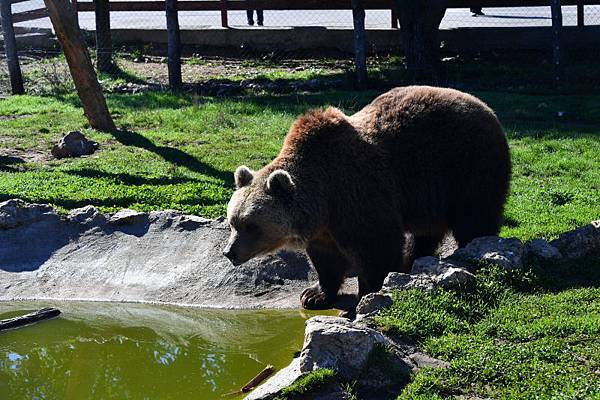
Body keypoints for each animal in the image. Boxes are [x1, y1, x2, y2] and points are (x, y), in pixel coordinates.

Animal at [221, 86, 510, 308]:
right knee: (427, 232)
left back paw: (470, 248)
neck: (323, 198)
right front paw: (314, 294)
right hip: (430, 195)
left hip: (467, 167)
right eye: (233, 222)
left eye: (252, 225)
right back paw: (412, 261)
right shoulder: (324, 226)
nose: (229, 252)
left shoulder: (357, 193)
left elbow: (376, 245)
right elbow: (325, 259)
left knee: (475, 218)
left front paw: (370, 292)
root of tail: (486, 107)